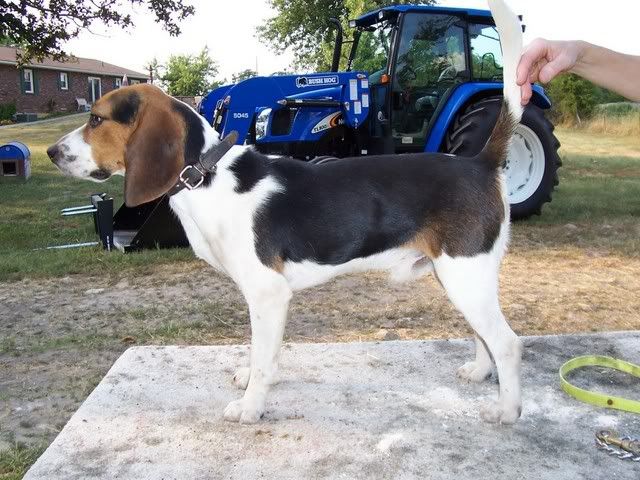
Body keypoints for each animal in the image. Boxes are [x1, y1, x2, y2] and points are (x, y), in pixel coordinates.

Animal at [48, 0, 524, 425]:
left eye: (96, 119)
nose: (52, 152)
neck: (208, 175)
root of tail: (479, 162)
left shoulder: (268, 293)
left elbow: (263, 358)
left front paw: (251, 407)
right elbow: (265, 353)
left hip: (466, 275)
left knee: (507, 342)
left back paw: (506, 410)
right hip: (458, 278)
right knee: (484, 336)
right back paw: (480, 372)